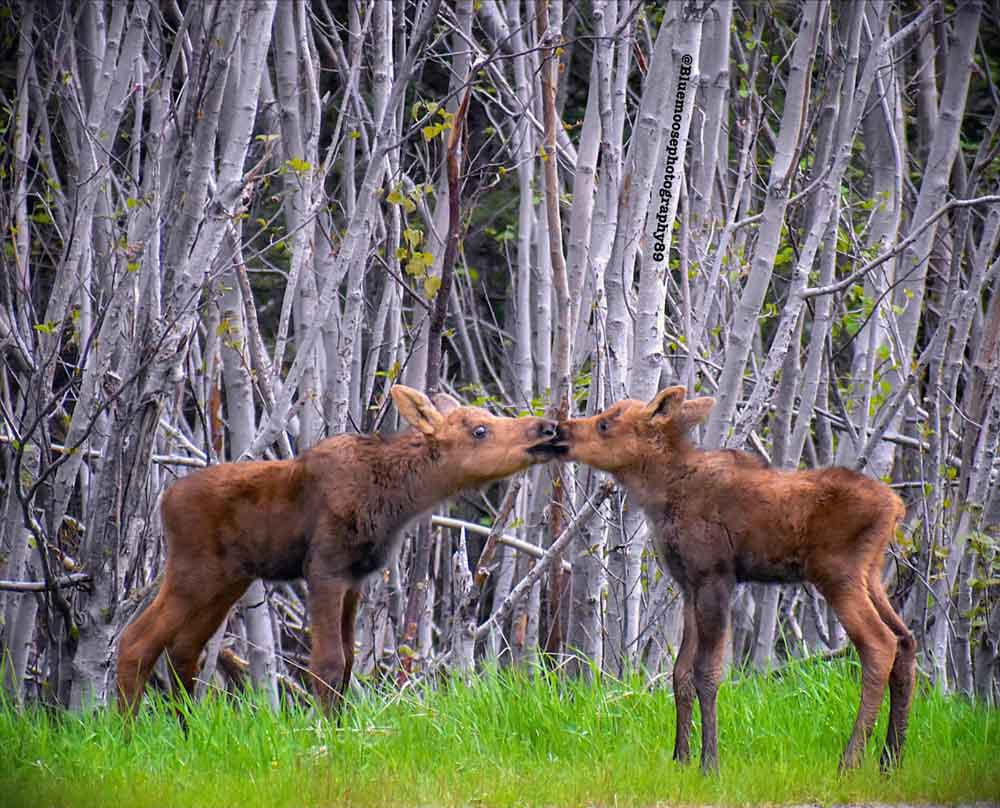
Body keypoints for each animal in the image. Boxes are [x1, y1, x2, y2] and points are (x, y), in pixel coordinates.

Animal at [117, 386, 564, 712]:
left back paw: (187, 730)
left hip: (227, 582)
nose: (546, 428)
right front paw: (324, 734)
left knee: (182, 651)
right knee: (136, 641)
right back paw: (126, 734)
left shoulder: (355, 578)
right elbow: (327, 664)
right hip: (192, 573)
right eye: (479, 431)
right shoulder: (325, 569)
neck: (394, 500)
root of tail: (164, 501)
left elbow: (349, 662)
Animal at [560, 388, 916, 772]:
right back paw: (891, 759)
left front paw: (709, 762)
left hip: (838, 574)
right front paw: (680, 758)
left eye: (605, 424)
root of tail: (897, 506)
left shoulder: (714, 577)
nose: (561, 431)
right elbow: (680, 673)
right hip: (871, 574)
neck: (661, 495)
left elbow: (707, 672)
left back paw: (850, 761)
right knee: (905, 639)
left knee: (880, 644)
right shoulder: (690, 586)